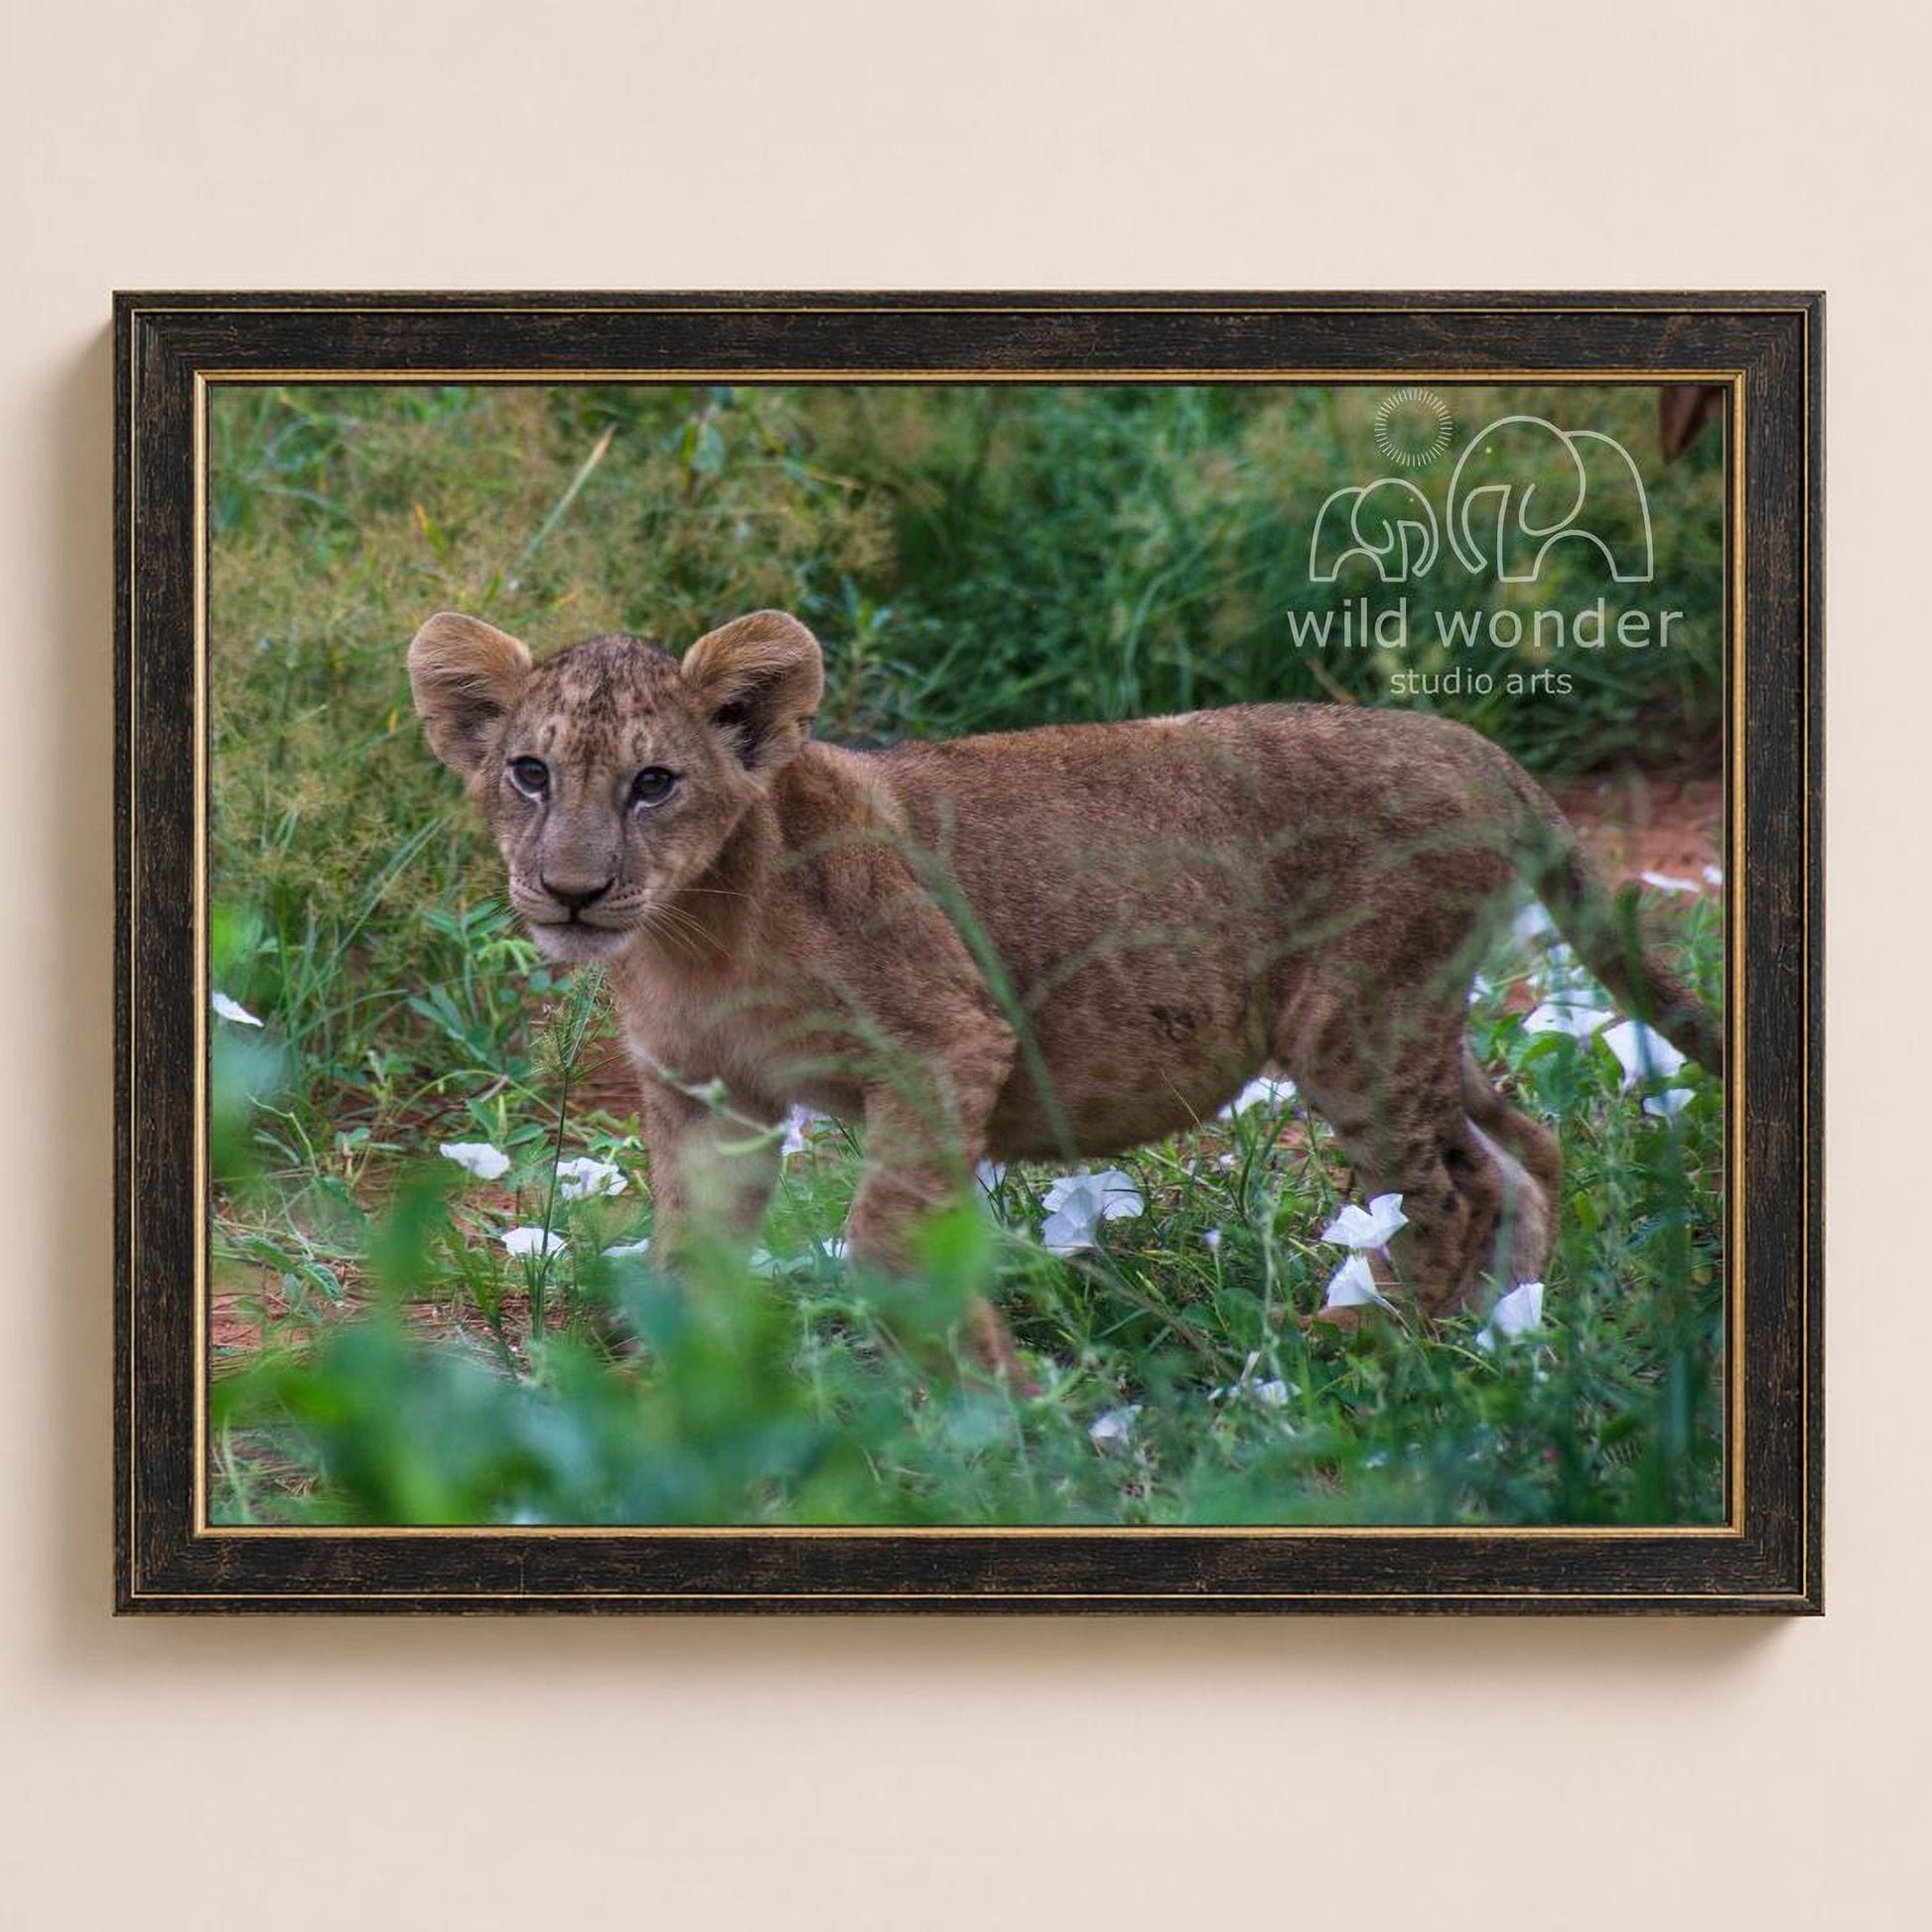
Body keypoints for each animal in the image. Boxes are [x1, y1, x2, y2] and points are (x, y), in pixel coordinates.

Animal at [409, 607, 1721, 1382]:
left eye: (653, 783)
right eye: (529, 772)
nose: (571, 890)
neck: (696, 931)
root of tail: (1476, 748)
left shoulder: (941, 1039)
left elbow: (889, 1234)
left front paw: (998, 1398)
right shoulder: (704, 1095)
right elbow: (689, 1252)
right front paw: (671, 1401)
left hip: (1354, 1018)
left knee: (1444, 1185)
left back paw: (1357, 1344)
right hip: (1413, 1016)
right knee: (1522, 1144)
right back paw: (1504, 1332)